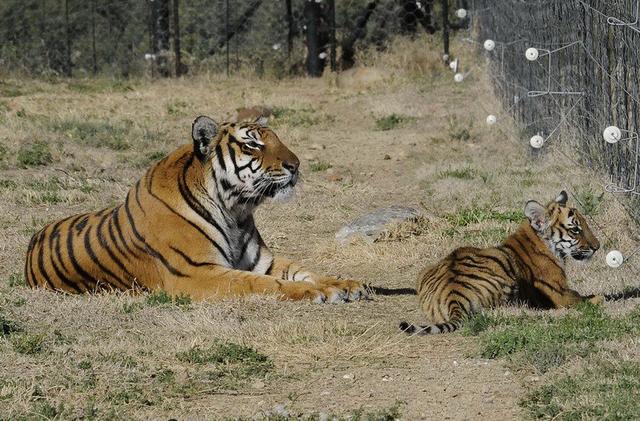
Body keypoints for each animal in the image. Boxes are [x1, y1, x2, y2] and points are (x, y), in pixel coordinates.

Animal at [26, 115, 364, 302]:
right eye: (253, 144)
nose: (296, 165)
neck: (235, 211)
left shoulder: (262, 261)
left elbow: (305, 271)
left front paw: (346, 284)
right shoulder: (196, 273)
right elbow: (262, 283)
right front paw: (315, 293)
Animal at [400, 191, 604, 334]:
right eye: (575, 230)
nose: (597, 247)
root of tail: (454, 295)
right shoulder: (560, 293)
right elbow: (583, 297)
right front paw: (600, 297)